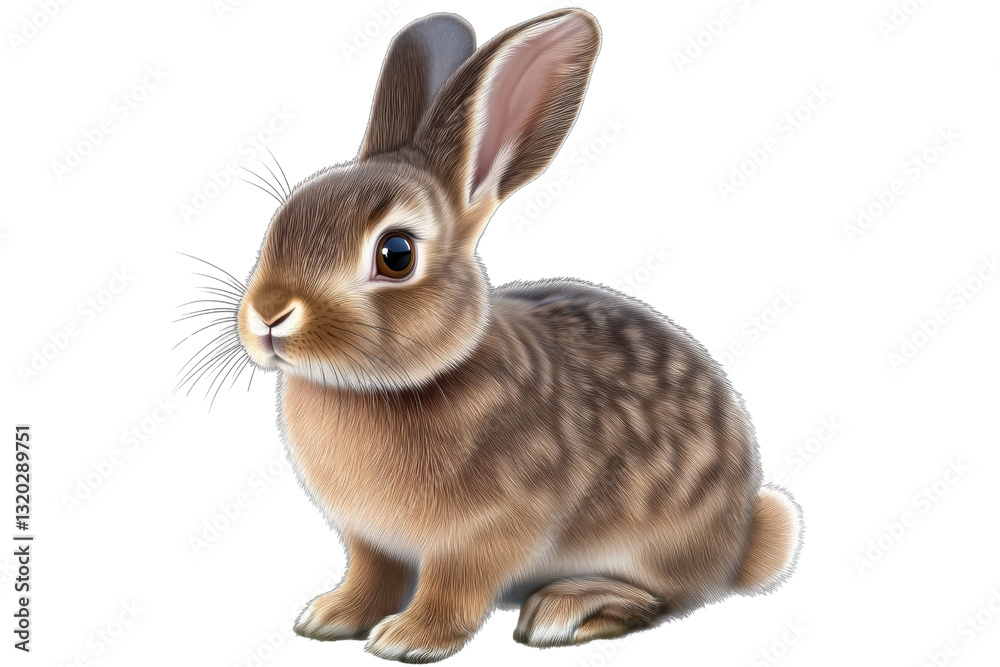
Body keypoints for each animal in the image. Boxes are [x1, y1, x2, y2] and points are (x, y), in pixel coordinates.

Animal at [230, 8, 802, 663]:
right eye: (280, 222)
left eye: (396, 254)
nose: (269, 315)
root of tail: (744, 539)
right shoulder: (367, 538)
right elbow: (371, 573)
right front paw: (331, 616)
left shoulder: (489, 530)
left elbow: (455, 587)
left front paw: (410, 638)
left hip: (656, 542)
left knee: (661, 599)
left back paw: (565, 610)